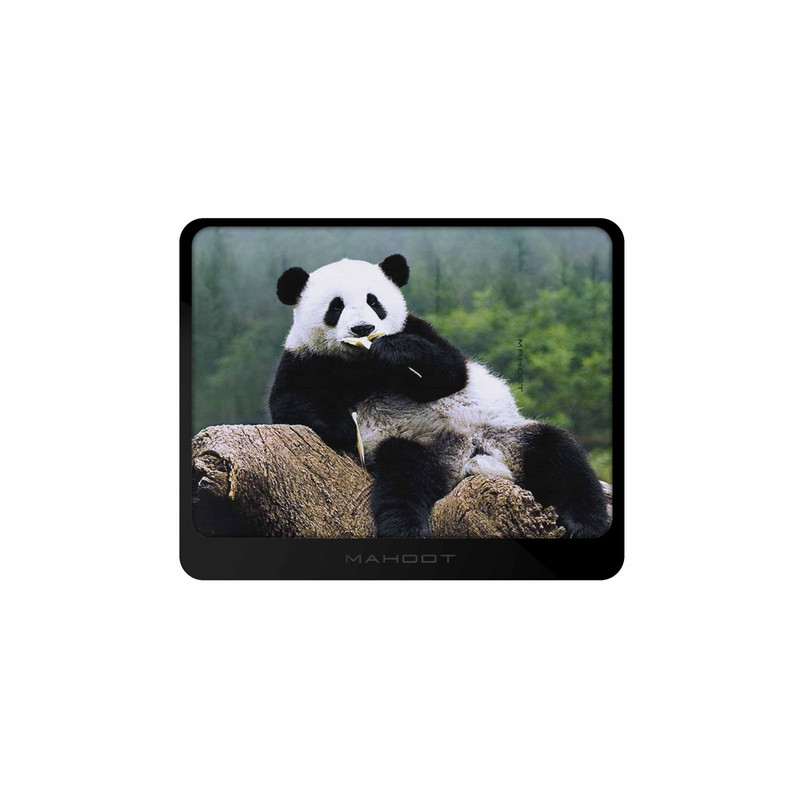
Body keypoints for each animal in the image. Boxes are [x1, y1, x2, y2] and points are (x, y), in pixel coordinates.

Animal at [269, 254, 608, 539]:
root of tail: (470, 458)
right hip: (419, 447)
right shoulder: (304, 359)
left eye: (374, 301)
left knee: (560, 455)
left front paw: (395, 351)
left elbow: (450, 372)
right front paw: (342, 427)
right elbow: (289, 403)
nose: (363, 328)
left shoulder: (419, 329)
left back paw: (585, 523)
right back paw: (405, 529)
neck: (362, 363)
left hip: (508, 436)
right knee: (404, 476)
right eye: (336, 306)